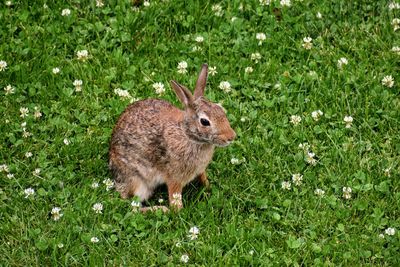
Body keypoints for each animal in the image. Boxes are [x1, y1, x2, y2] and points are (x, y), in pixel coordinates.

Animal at [108, 64, 236, 211]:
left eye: (221, 110)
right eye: (204, 122)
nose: (231, 137)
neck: (187, 135)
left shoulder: (200, 170)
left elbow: (203, 177)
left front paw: (208, 187)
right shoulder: (175, 178)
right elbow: (175, 198)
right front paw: (178, 211)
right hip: (136, 182)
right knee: (133, 206)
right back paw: (160, 209)